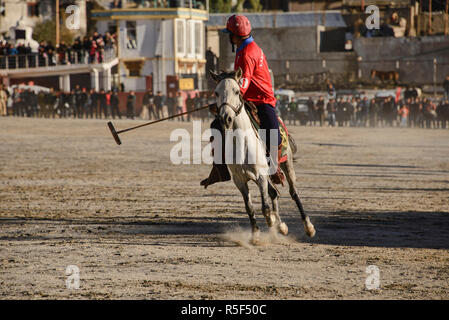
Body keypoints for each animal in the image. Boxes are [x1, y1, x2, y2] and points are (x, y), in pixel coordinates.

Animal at [210, 67, 316, 242]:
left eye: (237, 91)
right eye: (216, 93)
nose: (226, 118)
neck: (241, 141)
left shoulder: (260, 175)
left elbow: (265, 207)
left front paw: (271, 220)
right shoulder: (240, 181)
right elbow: (250, 208)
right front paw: (256, 236)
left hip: (286, 165)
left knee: (293, 193)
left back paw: (308, 227)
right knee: (274, 193)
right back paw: (281, 226)